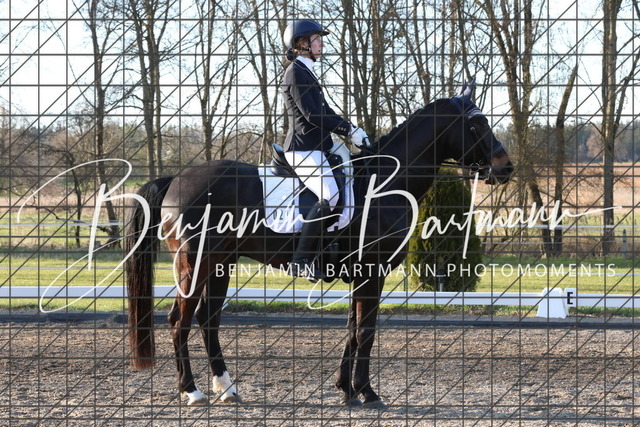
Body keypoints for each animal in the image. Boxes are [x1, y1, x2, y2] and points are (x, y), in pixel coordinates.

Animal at [124, 81, 514, 408]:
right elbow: (365, 331)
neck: (385, 185)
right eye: (477, 125)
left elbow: (353, 331)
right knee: (180, 321)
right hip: (195, 262)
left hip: (221, 263)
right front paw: (367, 392)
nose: (505, 168)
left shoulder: (361, 276)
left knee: (208, 321)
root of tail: (177, 179)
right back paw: (192, 391)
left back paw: (228, 388)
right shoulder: (372, 273)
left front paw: (347, 389)